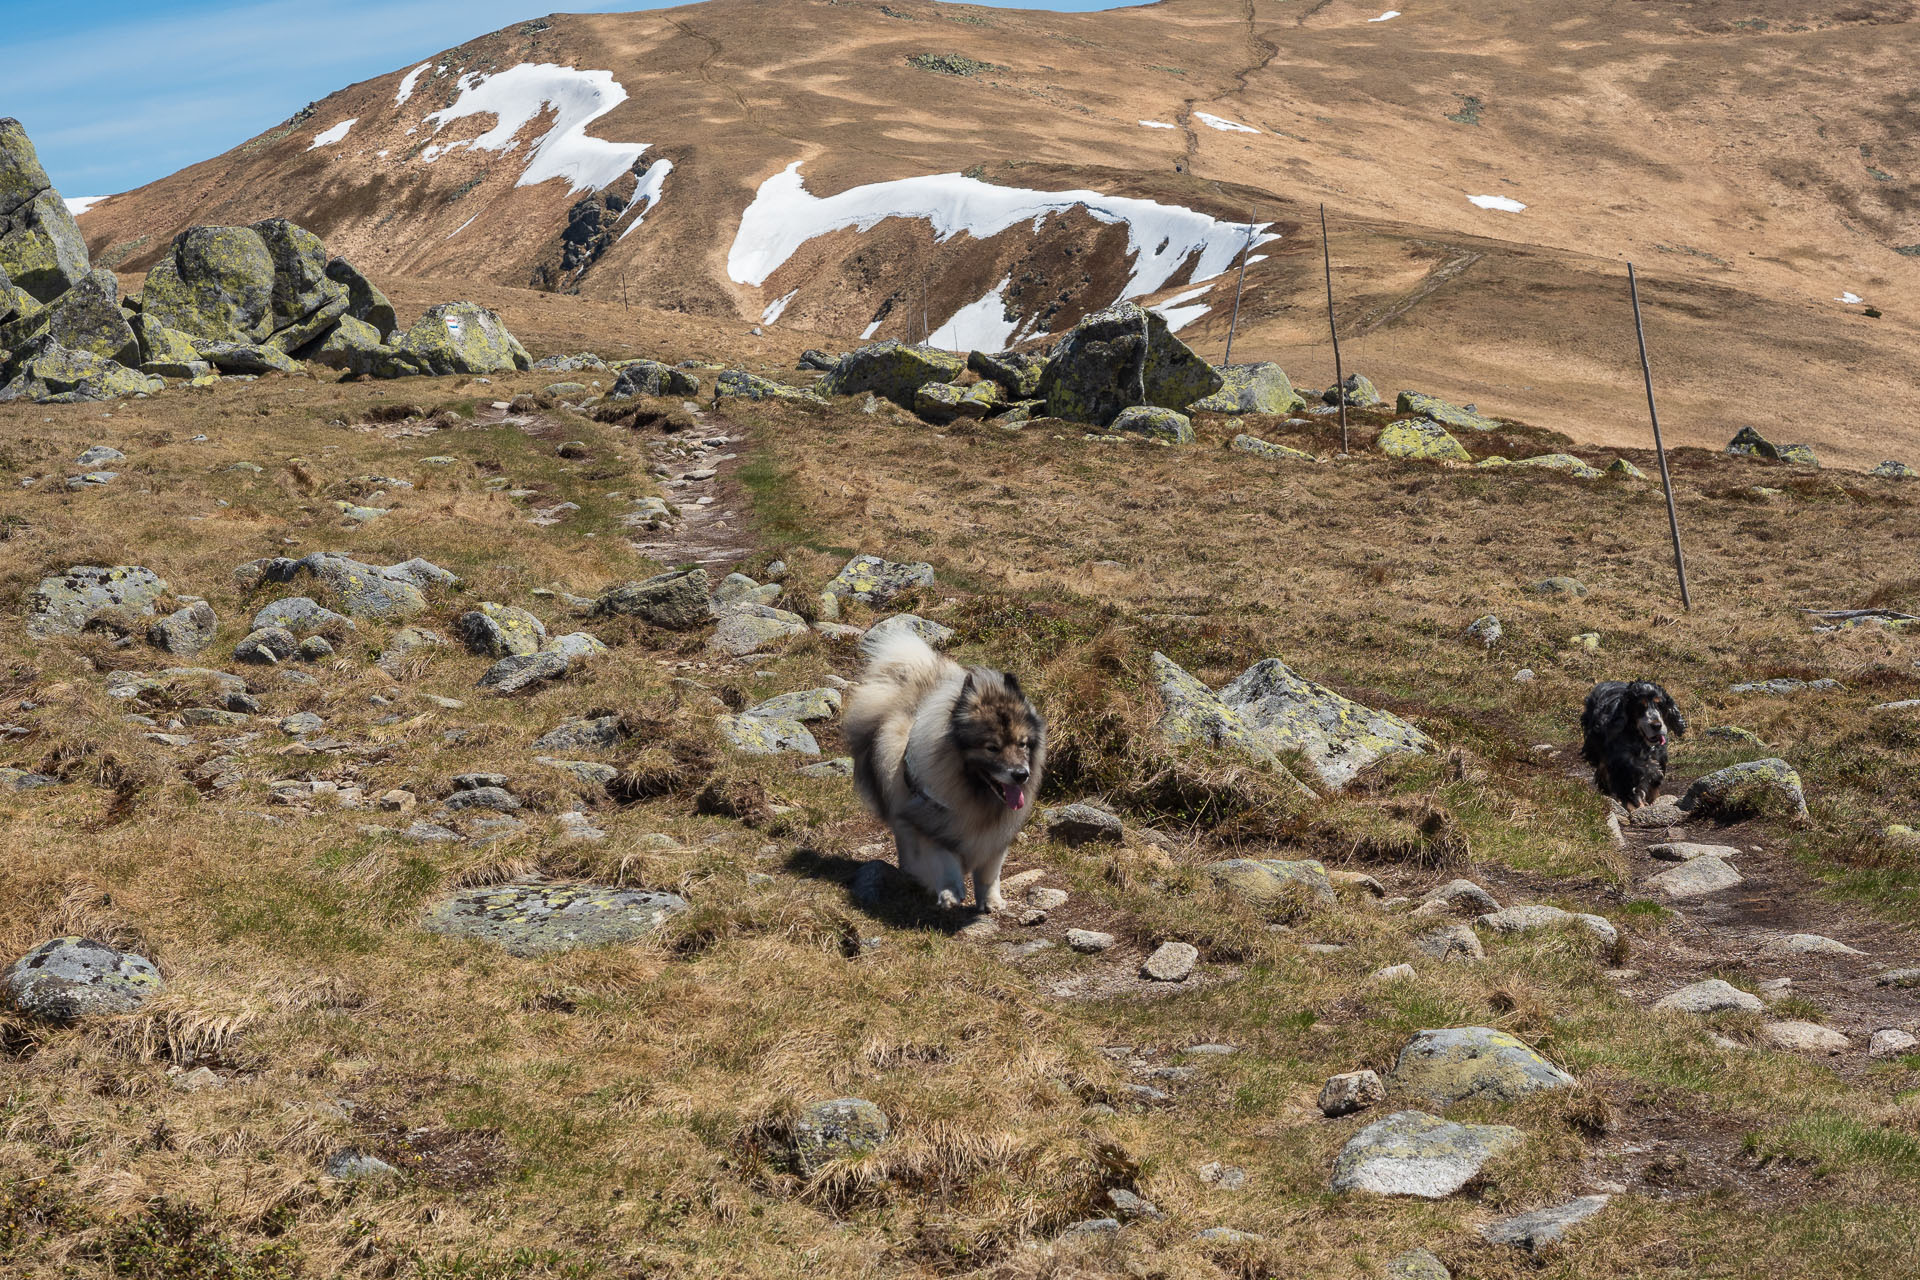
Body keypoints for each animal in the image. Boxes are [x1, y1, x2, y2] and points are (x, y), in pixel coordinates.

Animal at [1582, 679, 1689, 809]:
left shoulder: (1657, 765)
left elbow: (1652, 789)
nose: (1657, 726)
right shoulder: (1624, 769)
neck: (1643, 744)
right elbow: (1632, 795)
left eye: (1660, 705)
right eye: (1640, 706)